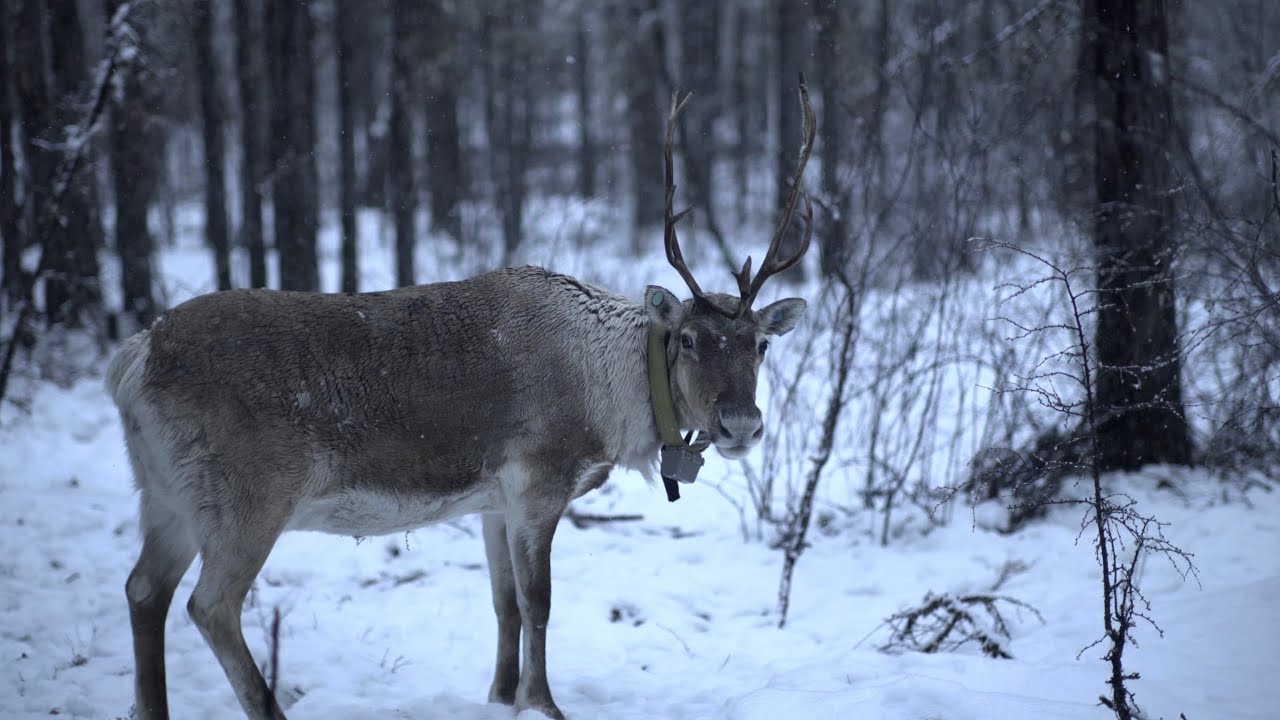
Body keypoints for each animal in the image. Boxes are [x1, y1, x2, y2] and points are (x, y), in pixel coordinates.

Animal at [107, 82, 815, 720]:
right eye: (690, 340)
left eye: (761, 346)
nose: (741, 423)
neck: (613, 400)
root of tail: (133, 359)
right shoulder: (538, 481)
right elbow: (538, 602)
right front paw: (543, 704)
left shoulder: (493, 502)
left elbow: (503, 603)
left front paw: (500, 697)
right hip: (247, 497)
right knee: (209, 605)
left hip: (165, 493)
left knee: (143, 590)